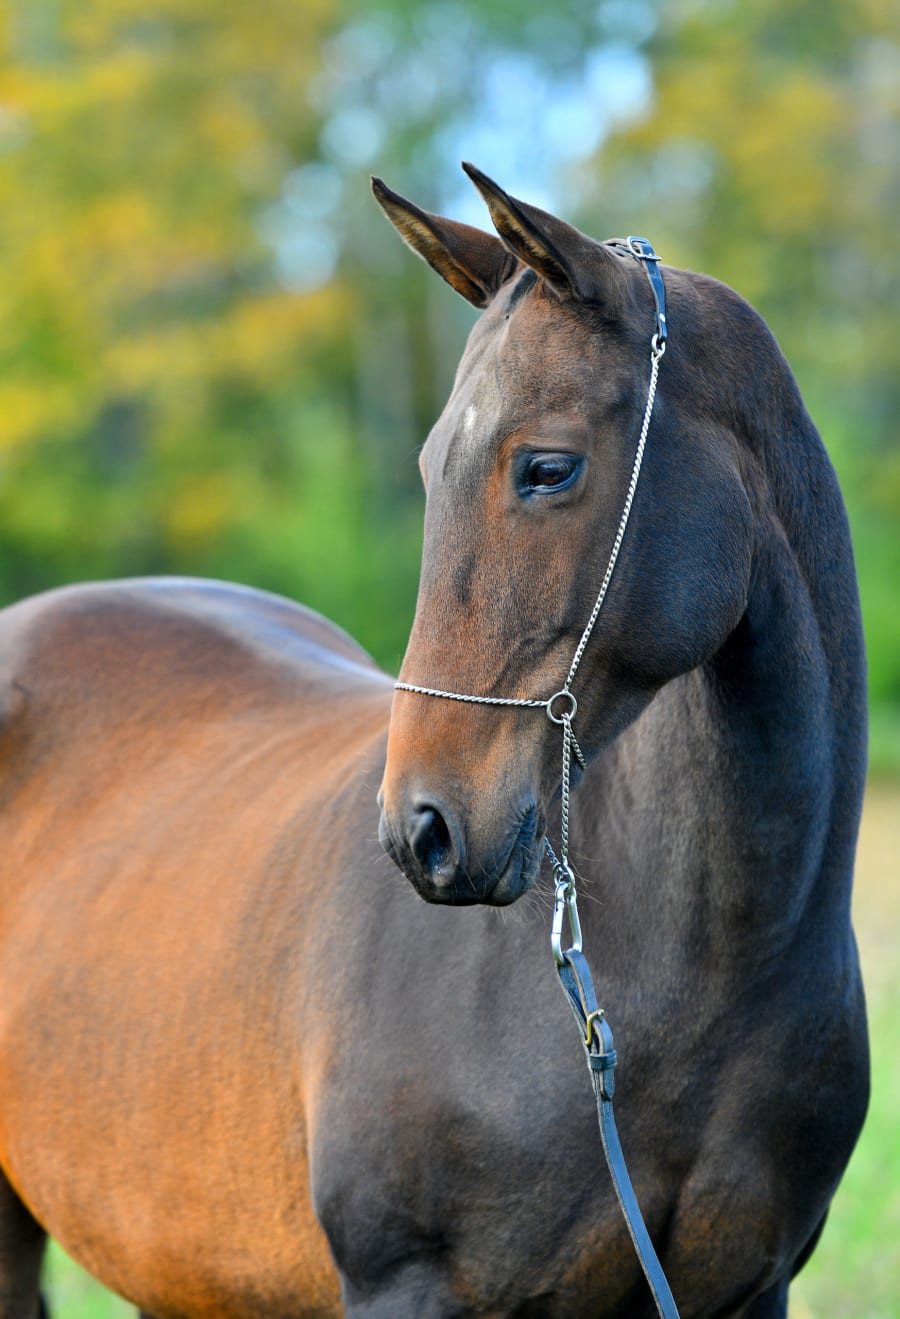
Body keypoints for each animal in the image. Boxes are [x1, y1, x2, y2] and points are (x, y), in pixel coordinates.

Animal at [0, 164, 867, 1318]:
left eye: (546, 467)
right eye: (425, 466)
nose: (424, 831)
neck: (703, 967)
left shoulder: (752, 1286)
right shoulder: (404, 1282)